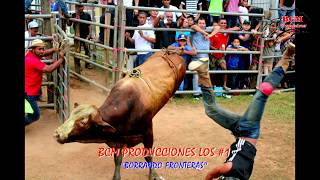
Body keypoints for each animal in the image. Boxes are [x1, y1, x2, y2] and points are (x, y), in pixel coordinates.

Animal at [54, 48, 186, 179]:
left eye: (83, 122)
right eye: (70, 115)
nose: (57, 133)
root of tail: (172, 51)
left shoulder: (148, 132)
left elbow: (148, 156)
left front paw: (154, 175)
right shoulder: (118, 141)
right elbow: (118, 160)